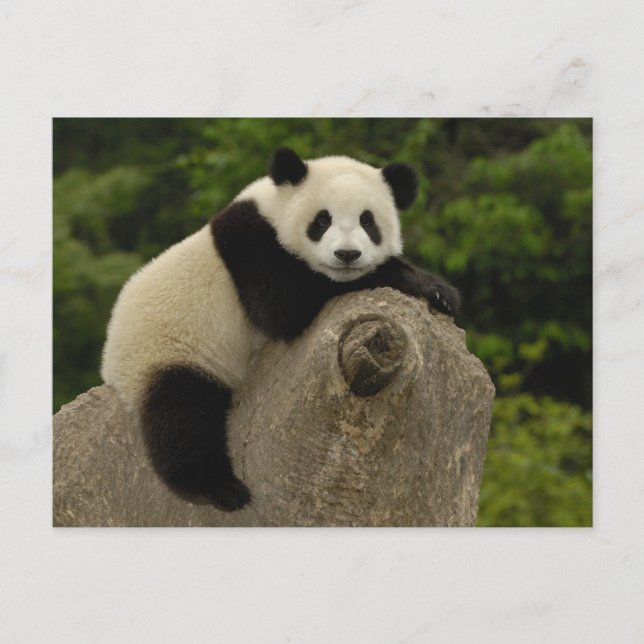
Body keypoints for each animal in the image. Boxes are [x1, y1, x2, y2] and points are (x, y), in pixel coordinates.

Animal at [101, 147, 459, 511]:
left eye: (367, 221)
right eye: (322, 221)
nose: (347, 254)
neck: (274, 207)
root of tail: (110, 365)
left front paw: (440, 294)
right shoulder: (253, 246)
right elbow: (285, 305)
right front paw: (428, 284)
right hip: (168, 350)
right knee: (181, 414)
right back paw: (218, 488)